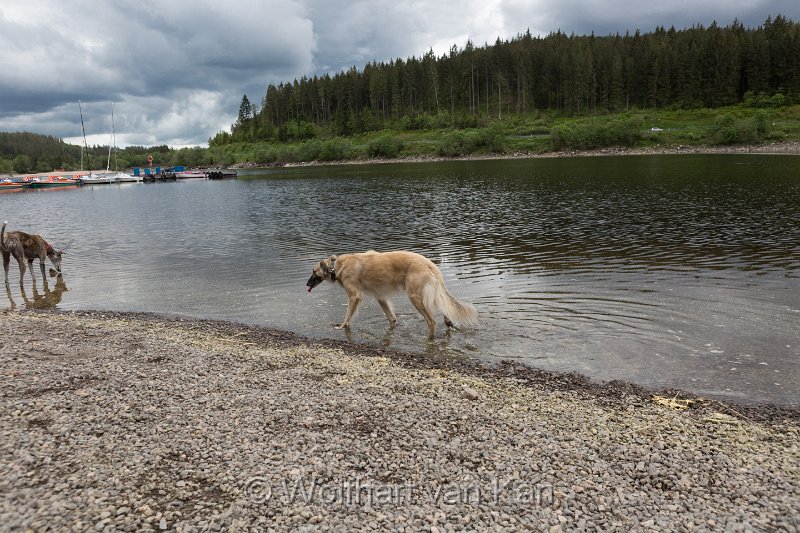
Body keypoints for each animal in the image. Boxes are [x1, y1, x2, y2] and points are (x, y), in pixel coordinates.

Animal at [306, 248, 476, 336]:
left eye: (313, 271)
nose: (306, 284)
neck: (336, 266)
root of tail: (429, 263)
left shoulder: (354, 296)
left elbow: (347, 316)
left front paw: (341, 327)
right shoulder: (381, 297)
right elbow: (391, 318)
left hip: (415, 297)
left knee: (432, 321)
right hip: (428, 294)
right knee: (444, 307)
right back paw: (448, 321)